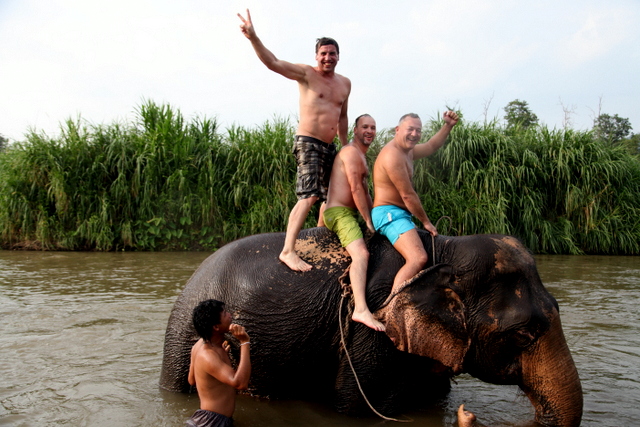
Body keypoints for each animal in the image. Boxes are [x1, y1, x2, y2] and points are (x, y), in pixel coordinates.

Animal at [160, 227, 583, 427]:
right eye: (524, 334)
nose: (470, 416)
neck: (444, 250)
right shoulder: (374, 329)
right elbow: (358, 407)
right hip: (183, 334)